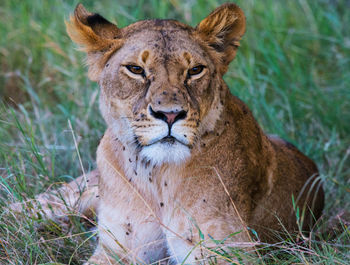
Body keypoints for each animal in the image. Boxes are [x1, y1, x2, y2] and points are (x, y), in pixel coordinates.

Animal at [13, 3, 326, 262]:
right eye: (136, 69)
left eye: (195, 70)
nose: (171, 114)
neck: (155, 176)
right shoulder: (118, 250)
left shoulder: (226, 251)